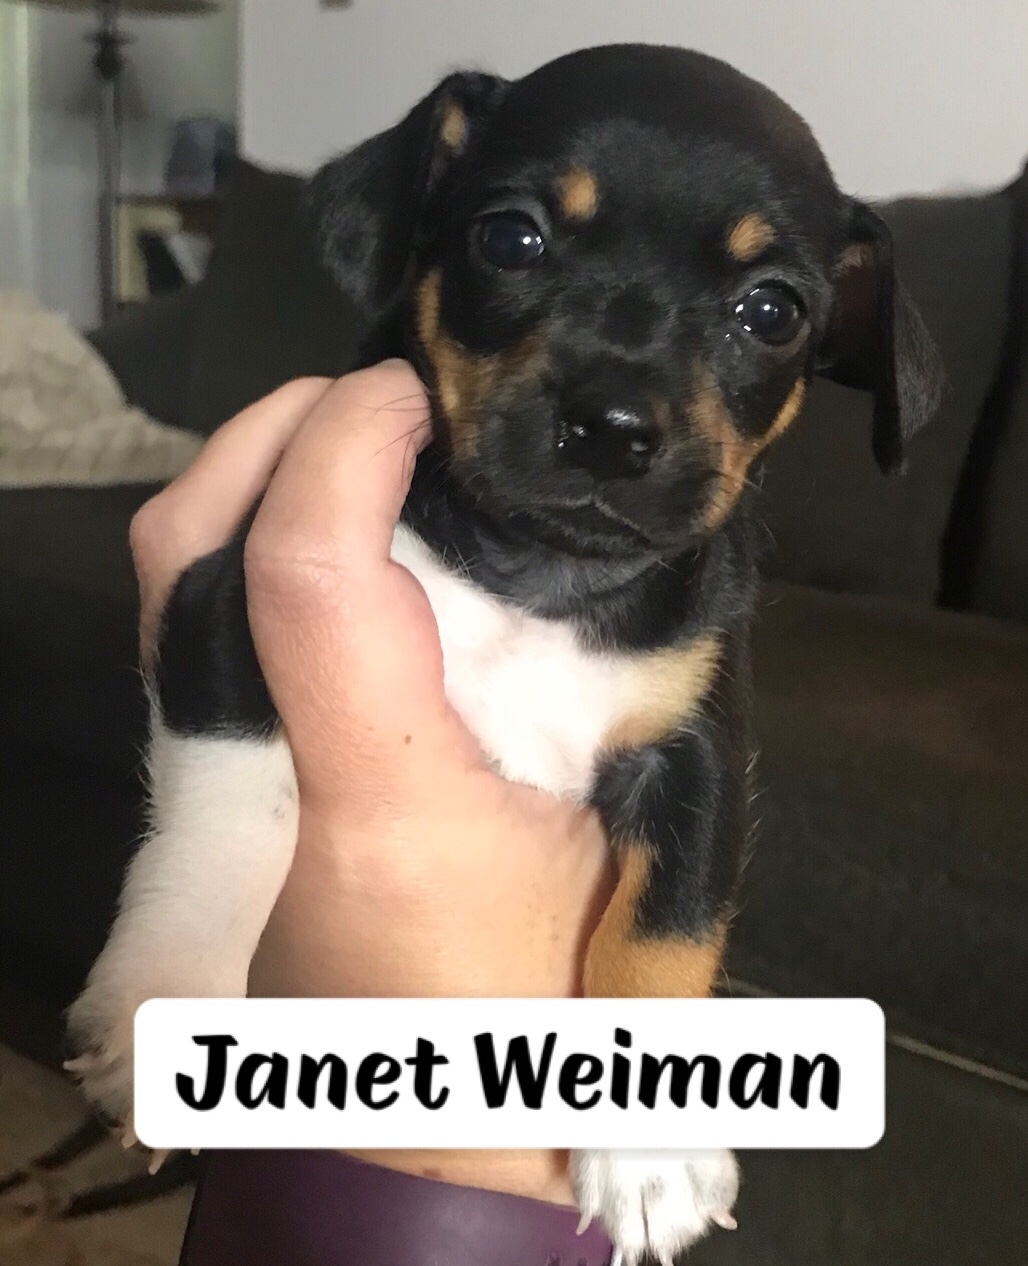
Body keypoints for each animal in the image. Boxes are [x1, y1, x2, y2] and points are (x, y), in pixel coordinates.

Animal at [67, 44, 942, 1263]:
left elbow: (667, 925)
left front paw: (650, 1153)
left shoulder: (699, 754)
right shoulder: (220, 601)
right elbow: (235, 813)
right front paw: (174, 997)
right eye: (511, 239)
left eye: (769, 312)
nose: (613, 425)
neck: (539, 577)